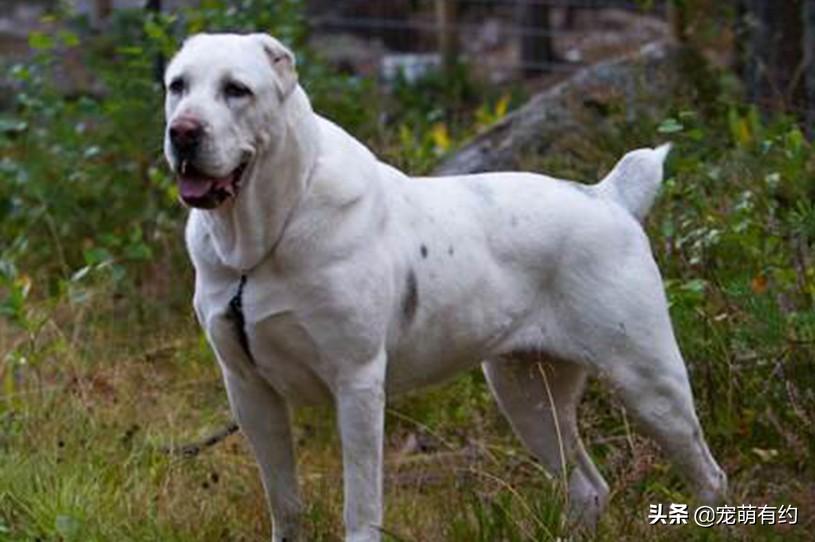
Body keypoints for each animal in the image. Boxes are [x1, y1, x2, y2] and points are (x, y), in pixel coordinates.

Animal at [164, 35, 728, 542]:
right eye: (177, 86)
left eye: (237, 90)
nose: (182, 132)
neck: (262, 243)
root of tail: (607, 197)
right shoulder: (248, 389)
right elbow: (285, 504)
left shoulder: (357, 383)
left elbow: (360, 506)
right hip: (526, 394)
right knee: (587, 488)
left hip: (648, 382)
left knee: (709, 475)